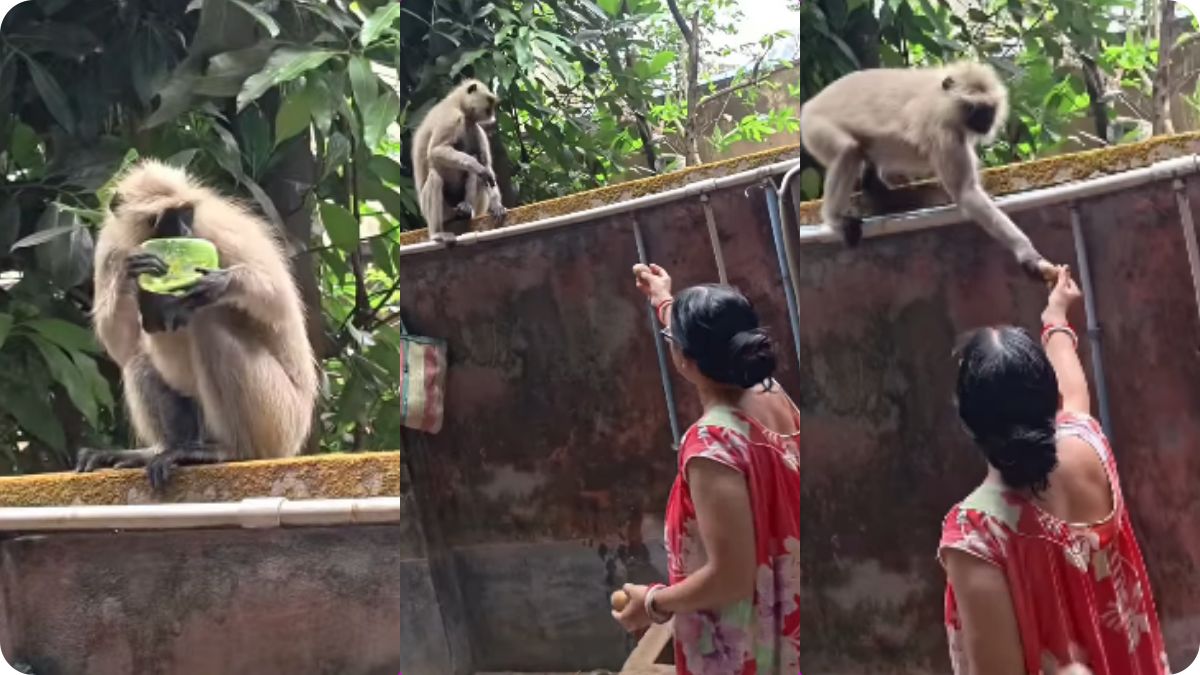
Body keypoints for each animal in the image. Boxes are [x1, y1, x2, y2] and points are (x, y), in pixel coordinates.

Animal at [75, 160, 319, 490]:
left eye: (186, 213)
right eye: (165, 218)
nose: (184, 231)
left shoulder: (214, 228)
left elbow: (279, 303)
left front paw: (219, 284)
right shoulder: (111, 247)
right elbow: (121, 344)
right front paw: (142, 290)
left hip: (281, 419)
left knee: (209, 325)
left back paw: (230, 451)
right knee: (139, 356)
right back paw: (164, 449)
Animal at [411, 78, 507, 244]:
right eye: (489, 102)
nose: (493, 115)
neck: (458, 104)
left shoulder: (474, 127)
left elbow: (486, 166)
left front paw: (497, 204)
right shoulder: (451, 117)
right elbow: (435, 151)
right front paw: (478, 168)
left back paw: (466, 208)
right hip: (441, 211)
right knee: (436, 177)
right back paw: (437, 233)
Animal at [800, 61, 1057, 282]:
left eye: (989, 110)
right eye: (975, 109)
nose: (985, 121)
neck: (940, 99)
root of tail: (809, 107)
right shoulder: (944, 131)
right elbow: (965, 193)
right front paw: (1026, 252)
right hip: (816, 127)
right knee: (848, 150)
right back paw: (834, 219)